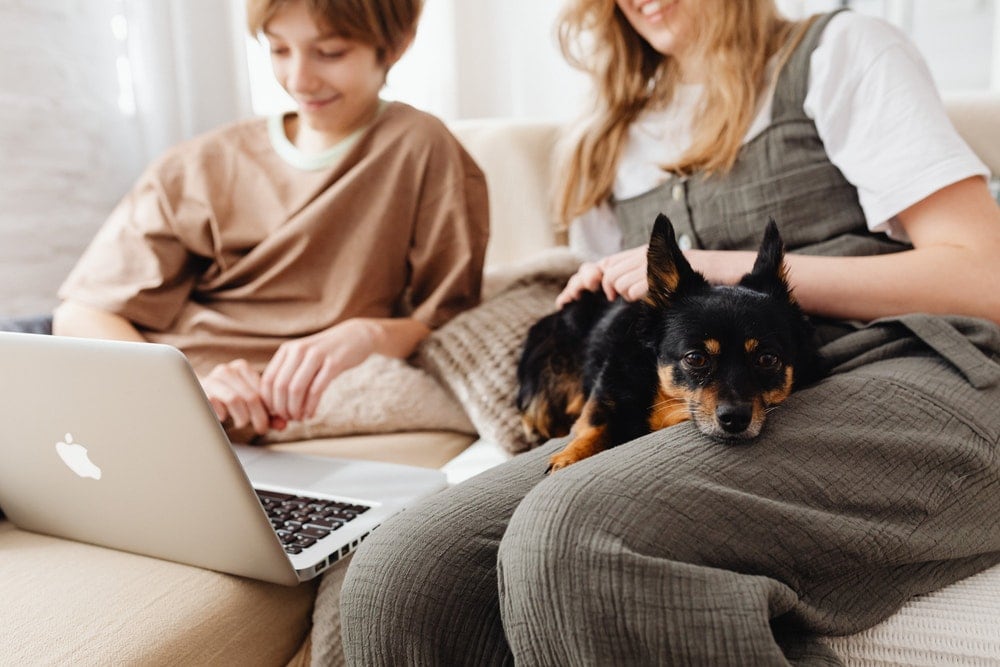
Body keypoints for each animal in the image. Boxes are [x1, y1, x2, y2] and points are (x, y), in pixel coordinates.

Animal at [516, 211, 820, 472]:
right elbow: (598, 421)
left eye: (767, 359)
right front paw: (572, 455)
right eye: (695, 358)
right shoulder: (607, 388)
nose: (735, 419)